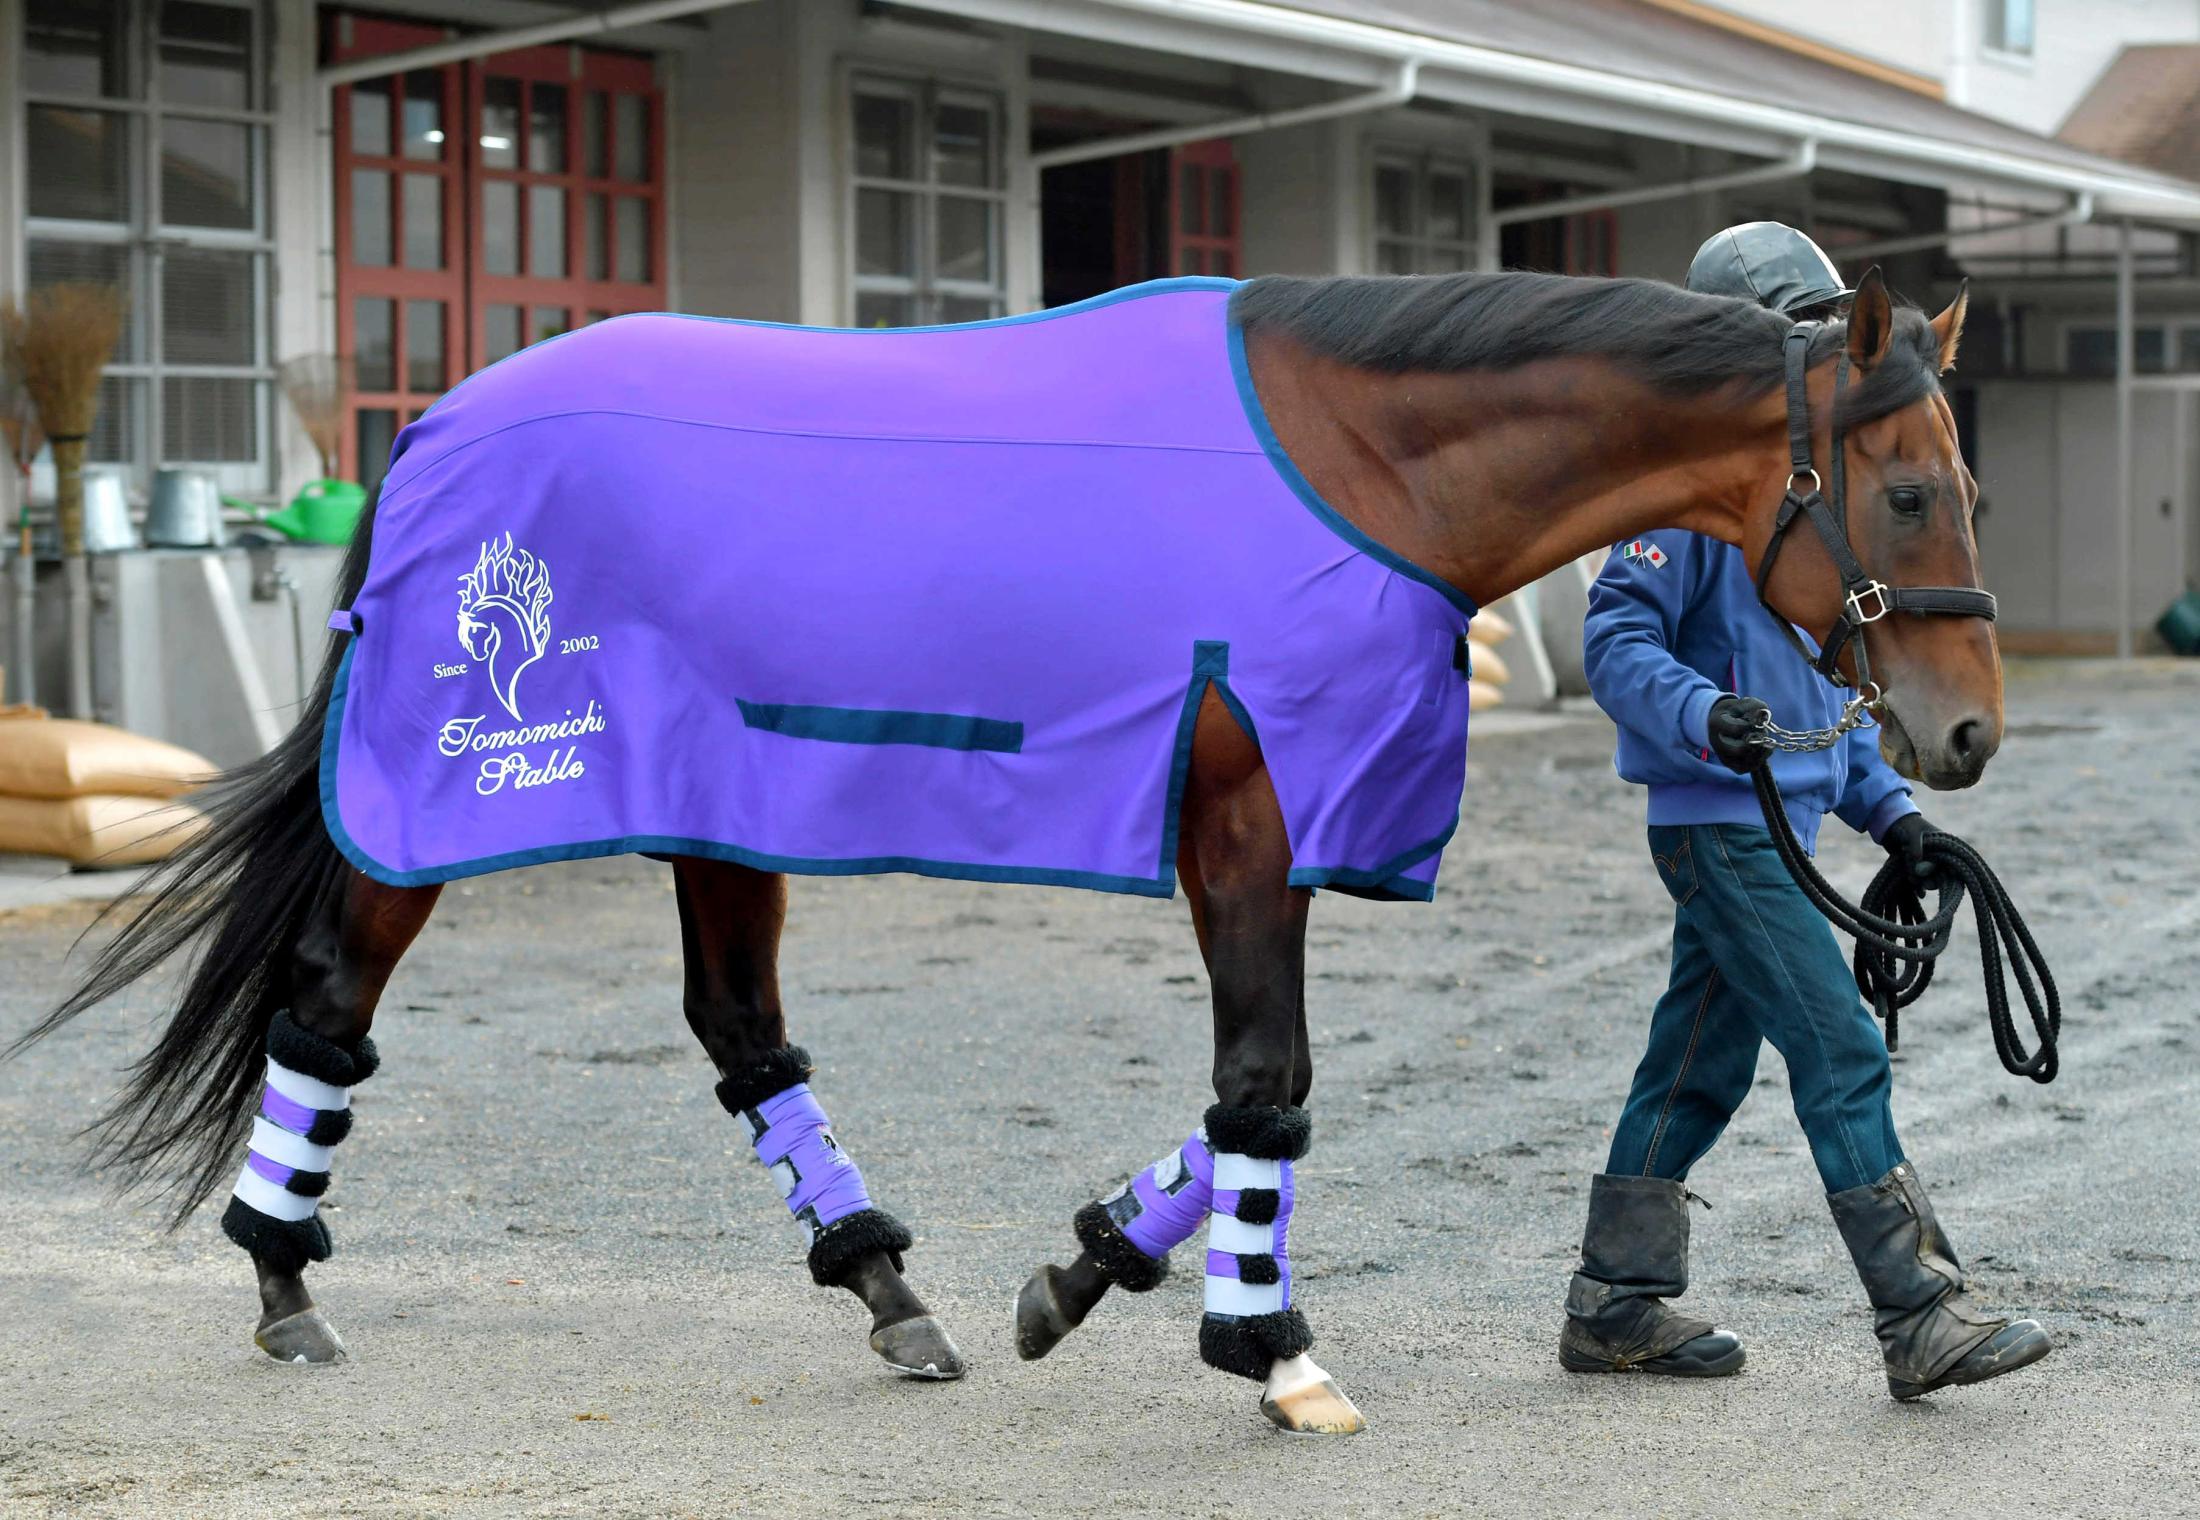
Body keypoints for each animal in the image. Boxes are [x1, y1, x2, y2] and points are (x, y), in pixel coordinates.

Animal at [12, 265, 1997, 1443]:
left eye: (1964, 484)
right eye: (1908, 490)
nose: (1963, 732)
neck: (1358, 466)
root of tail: (435, 425)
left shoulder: (1271, 834)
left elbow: (1244, 1099)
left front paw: (1087, 1268)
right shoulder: (1243, 822)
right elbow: (1267, 1087)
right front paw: (1268, 1349)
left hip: (729, 804)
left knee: (744, 1033)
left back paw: (891, 1291)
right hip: (444, 799)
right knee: (331, 1003)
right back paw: (284, 1286)